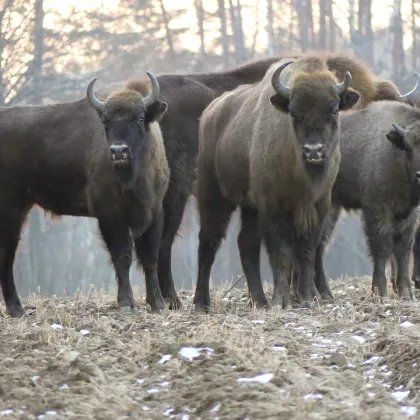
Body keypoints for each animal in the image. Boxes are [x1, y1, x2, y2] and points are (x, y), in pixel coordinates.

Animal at [0, 72, 171, 316]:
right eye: (106, 122)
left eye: (139, 119)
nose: (118, 151)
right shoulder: (110, 215)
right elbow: (123, 256)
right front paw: (126, 303)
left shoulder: (154, 212)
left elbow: (150, 258)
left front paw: (158, 304)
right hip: (11, 209)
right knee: (7, 253)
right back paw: (16, 308)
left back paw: (17, 309)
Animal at [194, 54, 364, 312]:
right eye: (293, 113)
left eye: (334, 110)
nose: (313, 151)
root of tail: (209, 114)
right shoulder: (273, 207)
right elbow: (281, 253)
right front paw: (280, 301)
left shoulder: (318, 206)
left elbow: (307, 251)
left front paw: (306, 299)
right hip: (214, 196)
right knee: (209, 241)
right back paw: (201, 304)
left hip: (249, 207)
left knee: (246, 244)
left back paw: (259, 301)